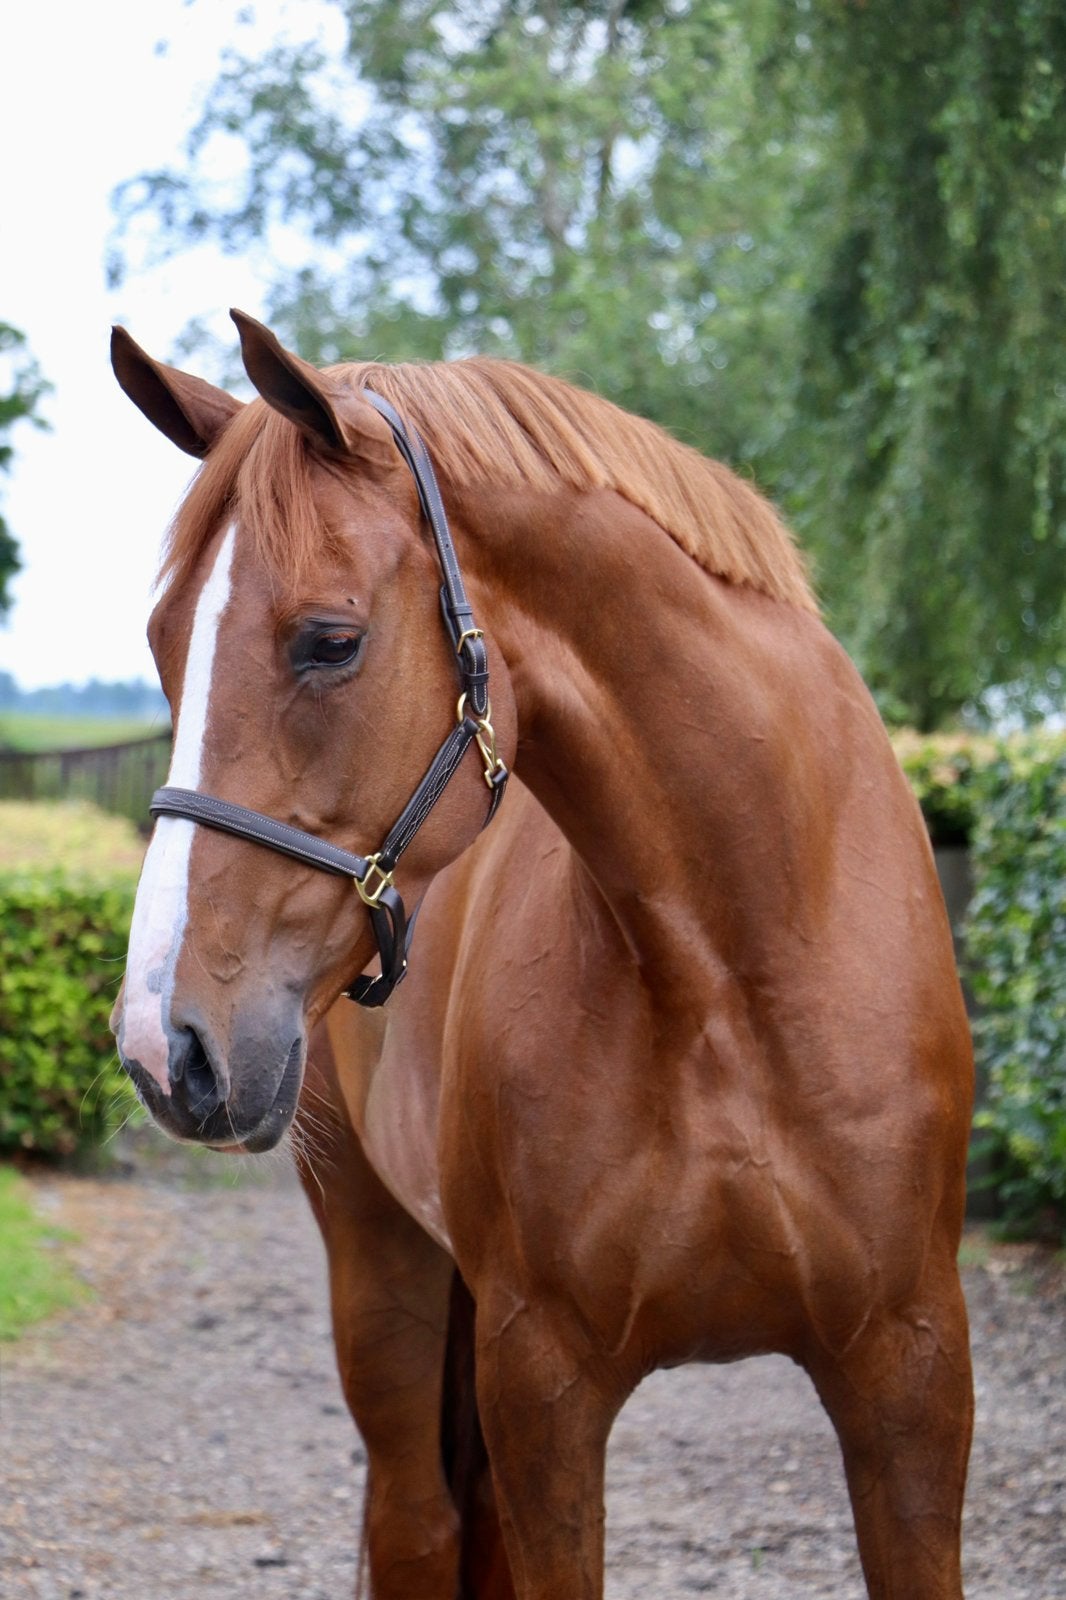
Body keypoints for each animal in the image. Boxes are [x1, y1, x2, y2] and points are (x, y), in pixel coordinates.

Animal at [110, 310, 974, 1599]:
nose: (166, 1045)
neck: (734, 974)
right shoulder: (544, 1383)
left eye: (330, 642)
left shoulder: (910, 1376)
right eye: (166, 646)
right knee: (416, 1524)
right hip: (379, 1264)